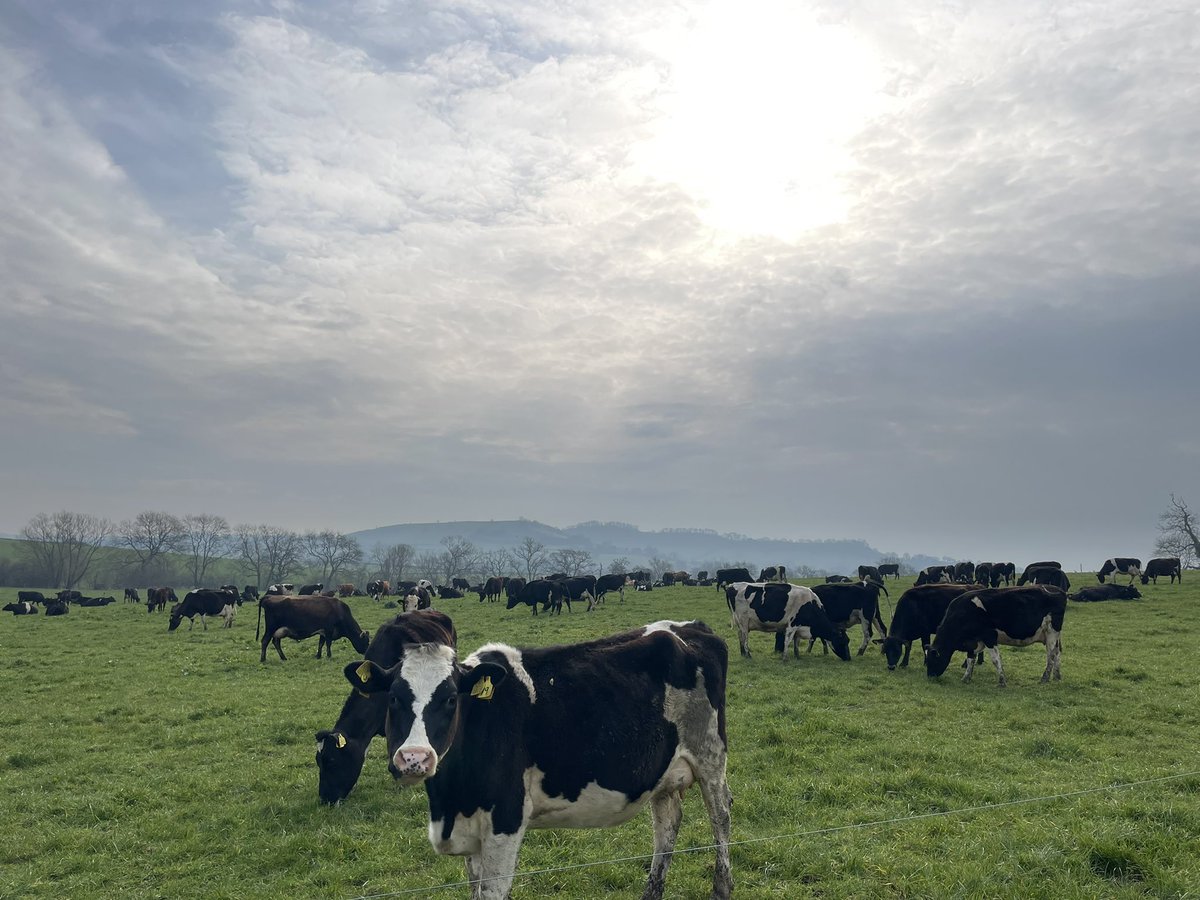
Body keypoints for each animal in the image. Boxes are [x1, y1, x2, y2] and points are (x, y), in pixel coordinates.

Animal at [342, 619, 733, 900]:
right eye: (393, 697)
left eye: (451, 698)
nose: (415, 757)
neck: (450, 801)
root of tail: (690, 628)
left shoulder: (506, 819)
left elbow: (493, 891)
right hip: (664, 773)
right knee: (667, 824)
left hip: (710, 754)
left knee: (721, 817)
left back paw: (722, 888)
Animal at [926, 586, 1066, 686]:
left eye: (932, 660)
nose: (930, 677)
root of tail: (1058, 590)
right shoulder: (974, 641)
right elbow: (971, 659)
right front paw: (966, 678)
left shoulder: (989, 636)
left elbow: (995, 659)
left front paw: (1002, 682)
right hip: (1053, 636)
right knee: (1057, 652)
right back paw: (1057, 677)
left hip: (1051, 632)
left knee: (1050, 655)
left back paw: (1045, 679)